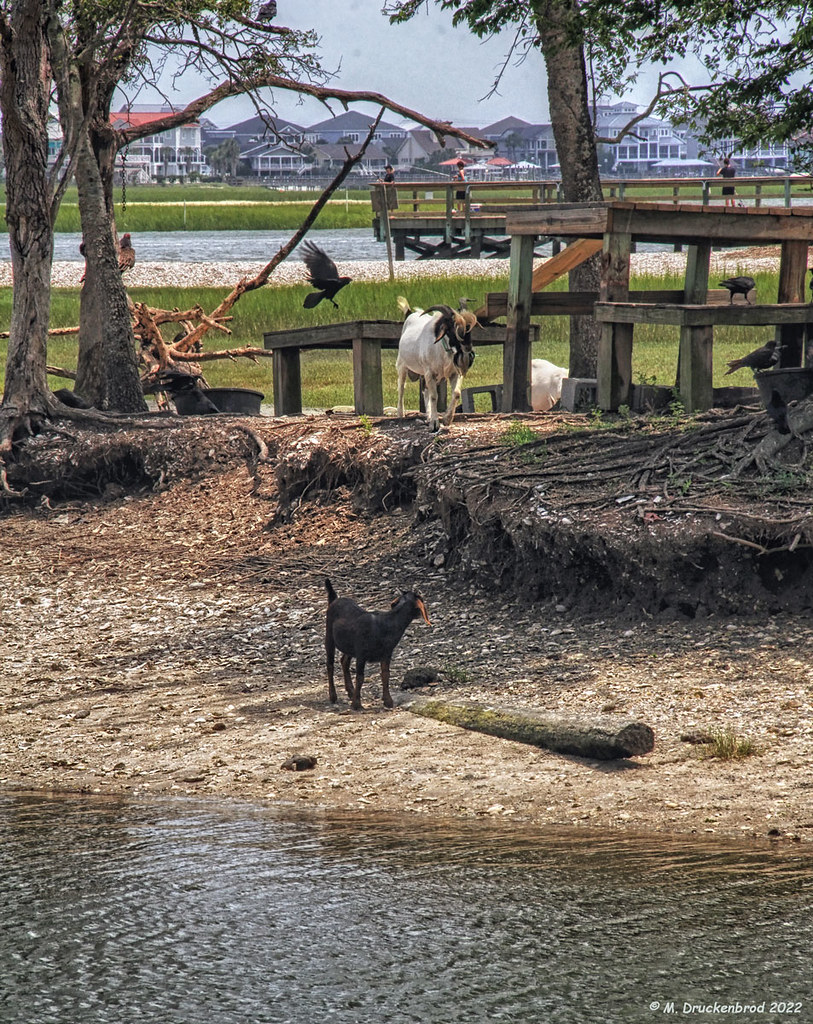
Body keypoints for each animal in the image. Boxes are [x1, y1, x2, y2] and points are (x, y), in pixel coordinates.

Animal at [325, 577, 431, 711]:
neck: (386, 624)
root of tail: (334, 599)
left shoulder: (386, 654)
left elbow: (385, 675)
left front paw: (388, 701)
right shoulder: (361, 653)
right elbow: (360, 677)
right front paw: (356, 704)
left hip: (349, 646)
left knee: (344, 661)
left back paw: (350, 691)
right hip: (329, 636)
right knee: (330, 665)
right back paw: (333, 696)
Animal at [396, 296, 478, 431]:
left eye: (470, 328)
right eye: (451, 328)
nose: (467, 351)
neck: (442, 351)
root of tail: (410, 314)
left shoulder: (454, 373)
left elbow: (456, 393)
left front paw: (446, 419)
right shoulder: (430, 372)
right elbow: (434, 396)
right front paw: (434, 423)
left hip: (423, 373)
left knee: (425, 390)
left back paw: (428, 416)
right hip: (402, 365)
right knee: (402, 387)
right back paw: (400, 413)